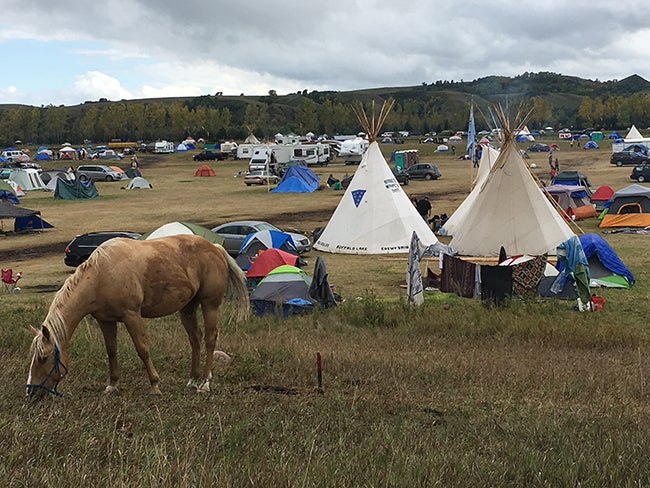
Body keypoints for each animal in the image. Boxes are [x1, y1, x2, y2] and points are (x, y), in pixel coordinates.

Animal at [26, 234, 248, 398]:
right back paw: (193, 380)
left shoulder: (131, 315)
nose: (31, 392)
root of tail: (215, 248)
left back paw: (205, 383)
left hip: (210, 306)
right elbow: (111, 351)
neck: (101, 276)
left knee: (210, 340)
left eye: (43, 358)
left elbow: (142, 350)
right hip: (187, 309)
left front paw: (155, 385)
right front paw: (113, 385)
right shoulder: (105, 320)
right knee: (195, 339)